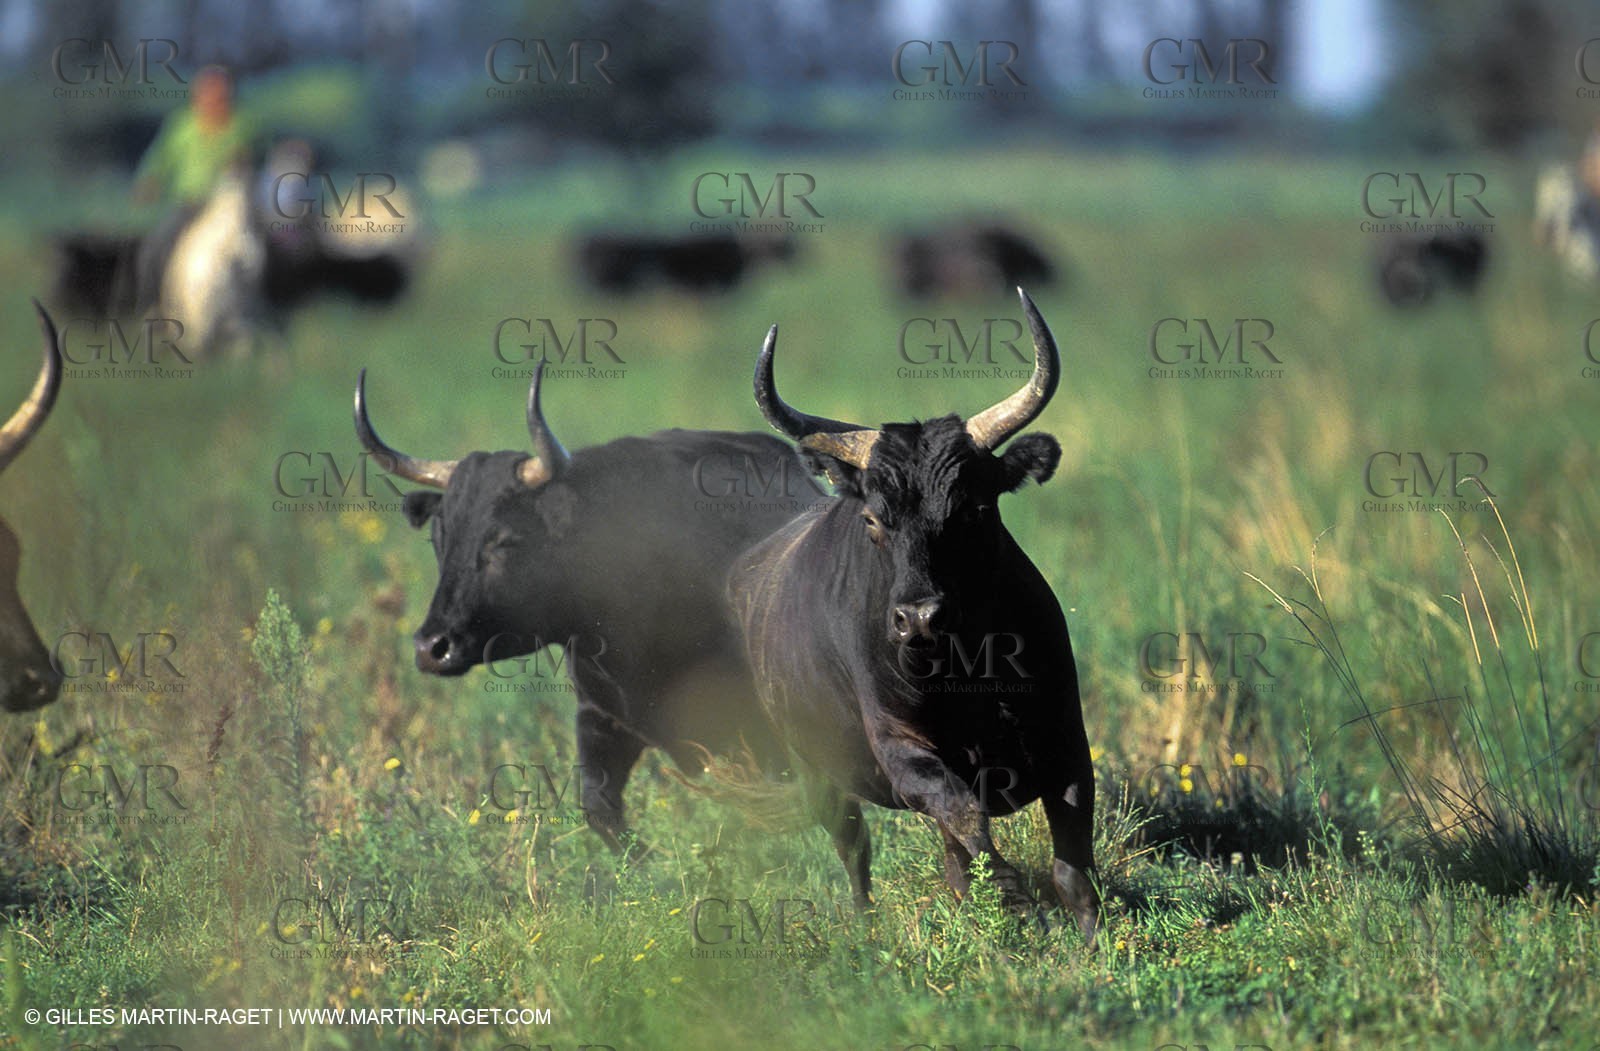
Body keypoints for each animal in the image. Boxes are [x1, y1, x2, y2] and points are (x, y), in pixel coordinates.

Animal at [727, 289, 1097, 939]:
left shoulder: (1066, 741)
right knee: (855, 849)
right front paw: (1011, 896)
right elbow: (964, 814)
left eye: (974, 508)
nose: (920, 619)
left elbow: (1072, 864)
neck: (970, 670)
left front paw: (1095, 941)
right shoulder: (902, 753)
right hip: (816, 772)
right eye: (874, 518)